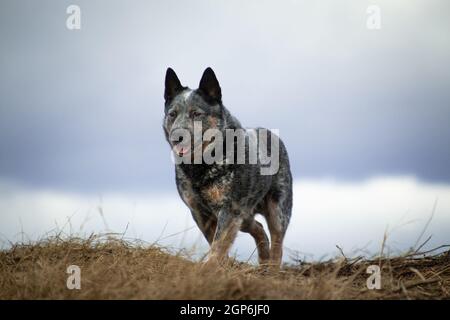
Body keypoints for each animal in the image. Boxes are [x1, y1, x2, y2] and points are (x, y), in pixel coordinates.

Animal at [162, 67, 292, 268]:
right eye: (172, 114)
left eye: (196, 114)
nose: (177, 137)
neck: (201, 166)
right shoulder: (200, 213)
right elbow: (215, 243)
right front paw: (223, 267)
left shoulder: (229, 210)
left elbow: (218, 245)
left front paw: (208, 268)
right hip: (244, 216)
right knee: (259, 229)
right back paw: (263, 260)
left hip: (277, 211)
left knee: (277, 244)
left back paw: (271, 269)